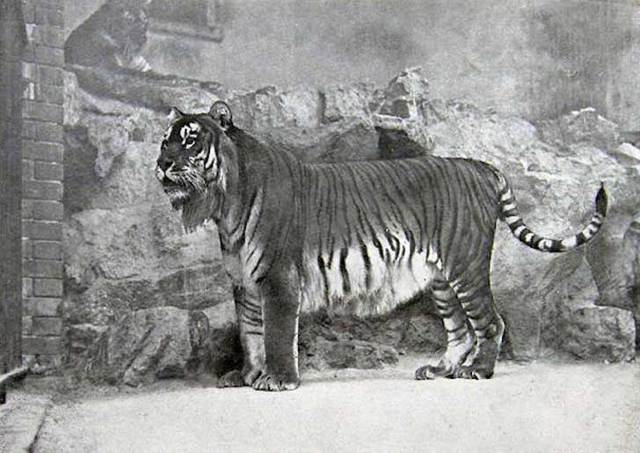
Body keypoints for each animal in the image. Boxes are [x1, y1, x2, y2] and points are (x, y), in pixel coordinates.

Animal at [155, 101, 607, 391]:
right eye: (164, 141)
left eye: (191, 140)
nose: (162, 164)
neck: (225, 204)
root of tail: (479, 166)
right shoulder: (244, 283)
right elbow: (250, 334)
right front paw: (247, 376)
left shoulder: (277, 279)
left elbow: (277, 334)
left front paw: (278, 381)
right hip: (442, 279)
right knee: (459, 330)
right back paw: (439, 370)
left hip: (466, 266)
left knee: (490, 322)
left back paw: (477, 371)